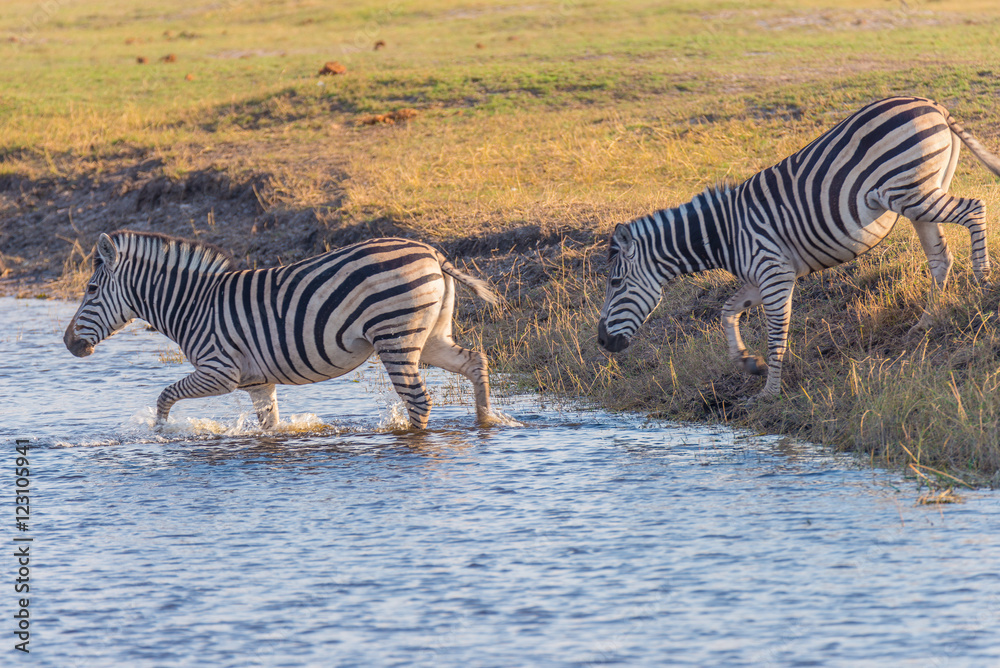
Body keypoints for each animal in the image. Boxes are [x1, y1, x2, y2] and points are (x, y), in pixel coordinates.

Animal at [64, 232, 498, 429]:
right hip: (431, 337)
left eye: (91, 289)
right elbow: (269, 425)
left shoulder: (219, 372)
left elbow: (164, 395)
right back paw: (488, 422)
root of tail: (432, 253)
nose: (68, 344)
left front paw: (158, 434)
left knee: (419, 400)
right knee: (476, 361)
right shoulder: (258, 382)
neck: (193, 306)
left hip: (395, 337)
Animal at [597, 96, 1000, 398]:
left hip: (908, 191)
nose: (601, 342)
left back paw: (982, 281)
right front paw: (747, 363)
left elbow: (776, 335)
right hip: (920, 193)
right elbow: (727, 312)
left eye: (615, 284)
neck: (726, 233)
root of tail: (932, 104)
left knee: (975, 208)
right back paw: (926, 322)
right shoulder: (761, 276)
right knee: (940, 257)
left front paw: (769, 393)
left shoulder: (774, 274)